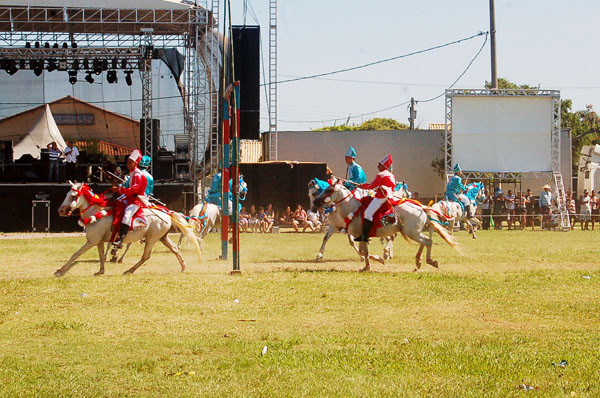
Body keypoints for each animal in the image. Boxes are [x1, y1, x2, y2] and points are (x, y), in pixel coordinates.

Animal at [56, 181, 202, 276]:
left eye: (73, 196)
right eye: (67, 194)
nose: (61, 210)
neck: (96, 214)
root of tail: (166, 213)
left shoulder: (91, 242)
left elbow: (75, 254)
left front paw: (60, 271)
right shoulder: (99, 242)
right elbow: (102, 256)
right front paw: (101, 271)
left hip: (151, 239)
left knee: (146, 256)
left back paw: (130, 270)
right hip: (163, 237)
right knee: (175, 249)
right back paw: (183, 266)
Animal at [310, 179, 460, 272]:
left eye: (328, 190)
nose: (315, 203)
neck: (352, 208)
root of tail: (421, 208)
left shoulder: (360, 234)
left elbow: (365, 251)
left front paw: (377, 260)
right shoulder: (359, 235)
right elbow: (364, 251)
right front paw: (371, 264)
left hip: (412, 232)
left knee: (427, 241)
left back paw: (427, 261)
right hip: (414, 232)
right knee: (426, 241)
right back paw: (419, 261)